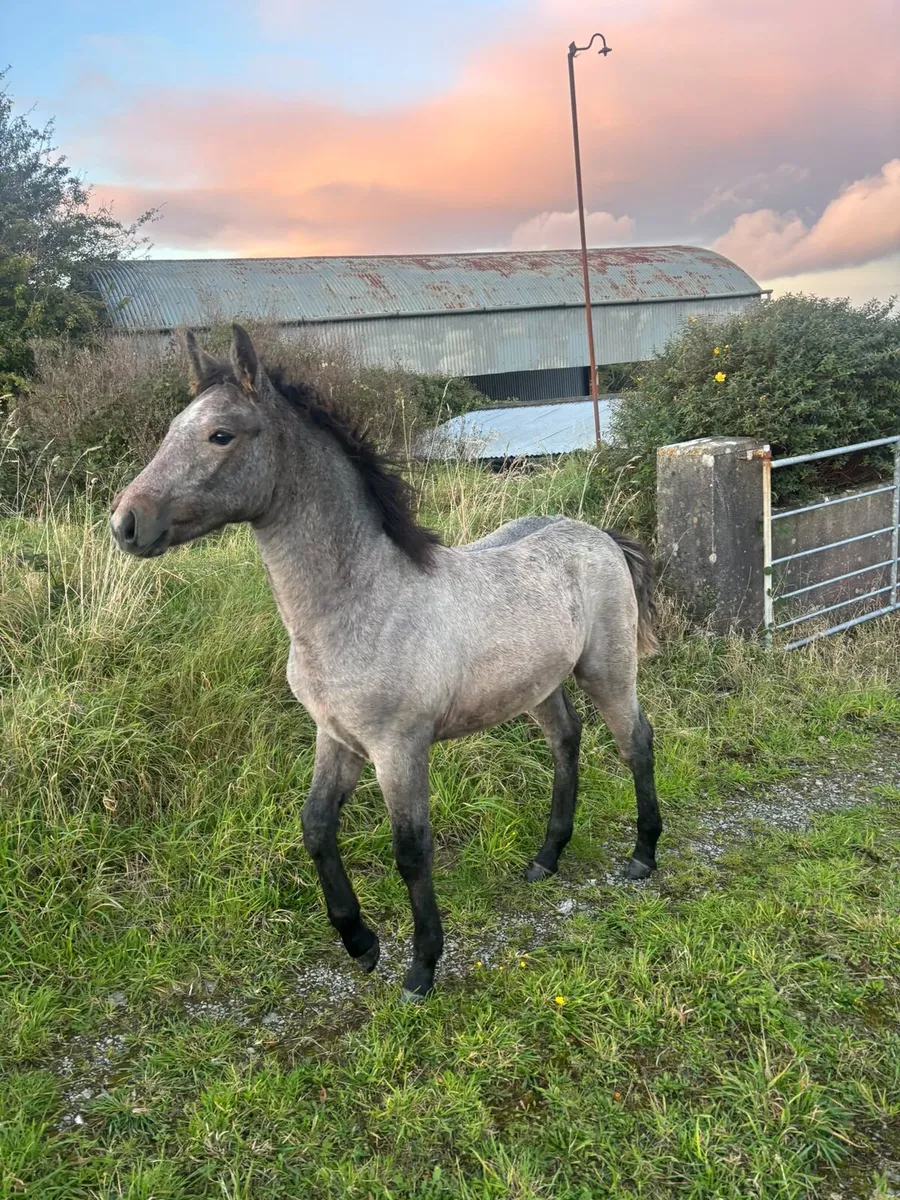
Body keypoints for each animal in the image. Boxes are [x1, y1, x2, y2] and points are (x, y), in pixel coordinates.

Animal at [110, 324, 662, 1002]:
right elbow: (315, 826)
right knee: (567, 740)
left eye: (221, 434)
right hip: (537, 687)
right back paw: (546, 858)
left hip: (608, 671)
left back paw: (642, 854)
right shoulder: (336, 737)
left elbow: (411, 850)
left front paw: (421, 968)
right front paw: (360, 943)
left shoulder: (398, 748)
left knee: (636, 742)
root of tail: (602, 536)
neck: (359, 603)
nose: (126, 523)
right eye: (171, 429)